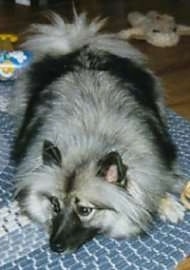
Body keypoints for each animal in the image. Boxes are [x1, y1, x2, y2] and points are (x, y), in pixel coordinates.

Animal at [9, 12, 185, 253]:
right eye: (54, 204)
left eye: (85, 210)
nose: (55, 246)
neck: (90, 143)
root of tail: (81, 49)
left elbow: (156, 182)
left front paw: (168, 202)